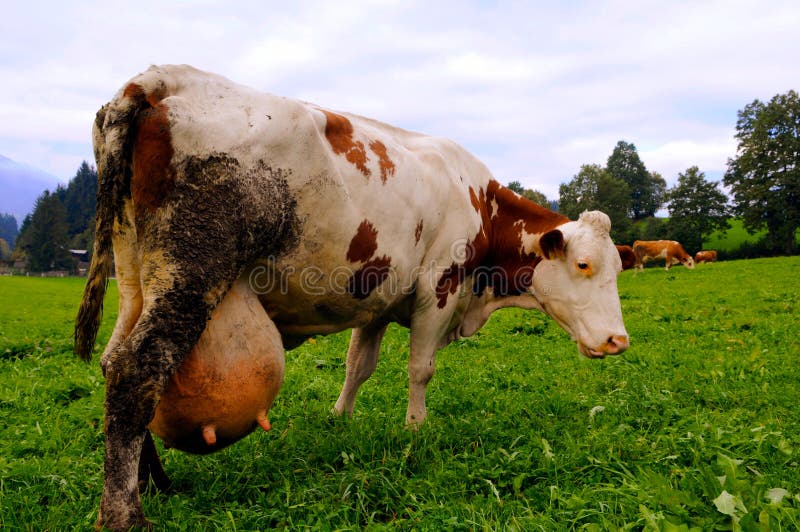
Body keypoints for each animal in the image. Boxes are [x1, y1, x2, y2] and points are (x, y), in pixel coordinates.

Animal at [72, 65, 628, 528]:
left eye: (619, 268)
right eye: (584, 265)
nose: (618, 341)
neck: (479, 203)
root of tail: (159, 79)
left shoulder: (377, 297)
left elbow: (358, 364)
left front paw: (340, 418)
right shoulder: (439, 288)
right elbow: (420, 368)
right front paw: (415, 430)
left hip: (136, 276)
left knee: (113, 360)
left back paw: (155, 483)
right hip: (190, 274)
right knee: (137, 369)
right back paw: (125, 513)